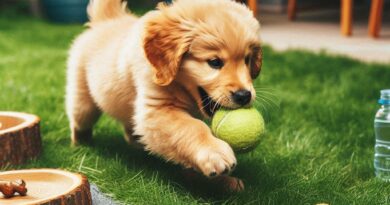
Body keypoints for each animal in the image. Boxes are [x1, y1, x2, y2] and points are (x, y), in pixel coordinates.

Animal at [66, 0, 262, 179]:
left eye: (247, 59)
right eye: (214, 62)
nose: (244, 96)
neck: (180, 85)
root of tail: (108, 18)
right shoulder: (157, 110)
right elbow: (191, 127)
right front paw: (214, 153)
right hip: (83, 101)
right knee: (80, 122)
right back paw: (80, 145)